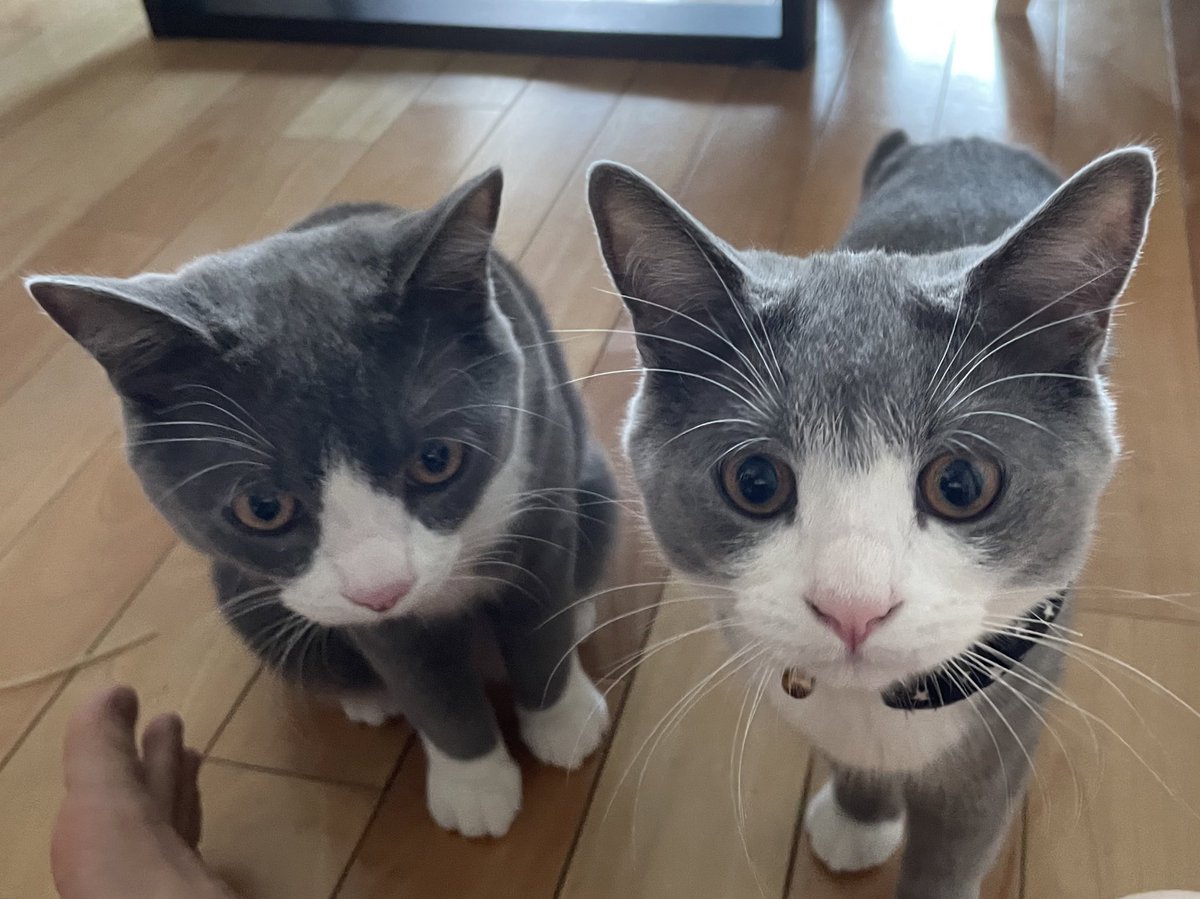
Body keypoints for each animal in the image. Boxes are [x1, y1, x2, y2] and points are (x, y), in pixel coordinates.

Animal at [27, 169, 616, 839]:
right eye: (262, 507)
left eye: (436, 460)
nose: (382, 589)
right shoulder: (375, 620)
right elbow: (427, 684)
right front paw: (474, 786)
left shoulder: (540, 483)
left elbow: (539, 624)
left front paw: (564, 726)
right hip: (245, 602)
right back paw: (368, 697)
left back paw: (581, 611)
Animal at [587, 133, 1155, 897]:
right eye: (755, 480)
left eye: (961, 483)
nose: (852, 606)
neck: (882, 705)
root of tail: (960, 141)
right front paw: (859, 818)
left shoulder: (1012, 716)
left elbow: (958, 843)